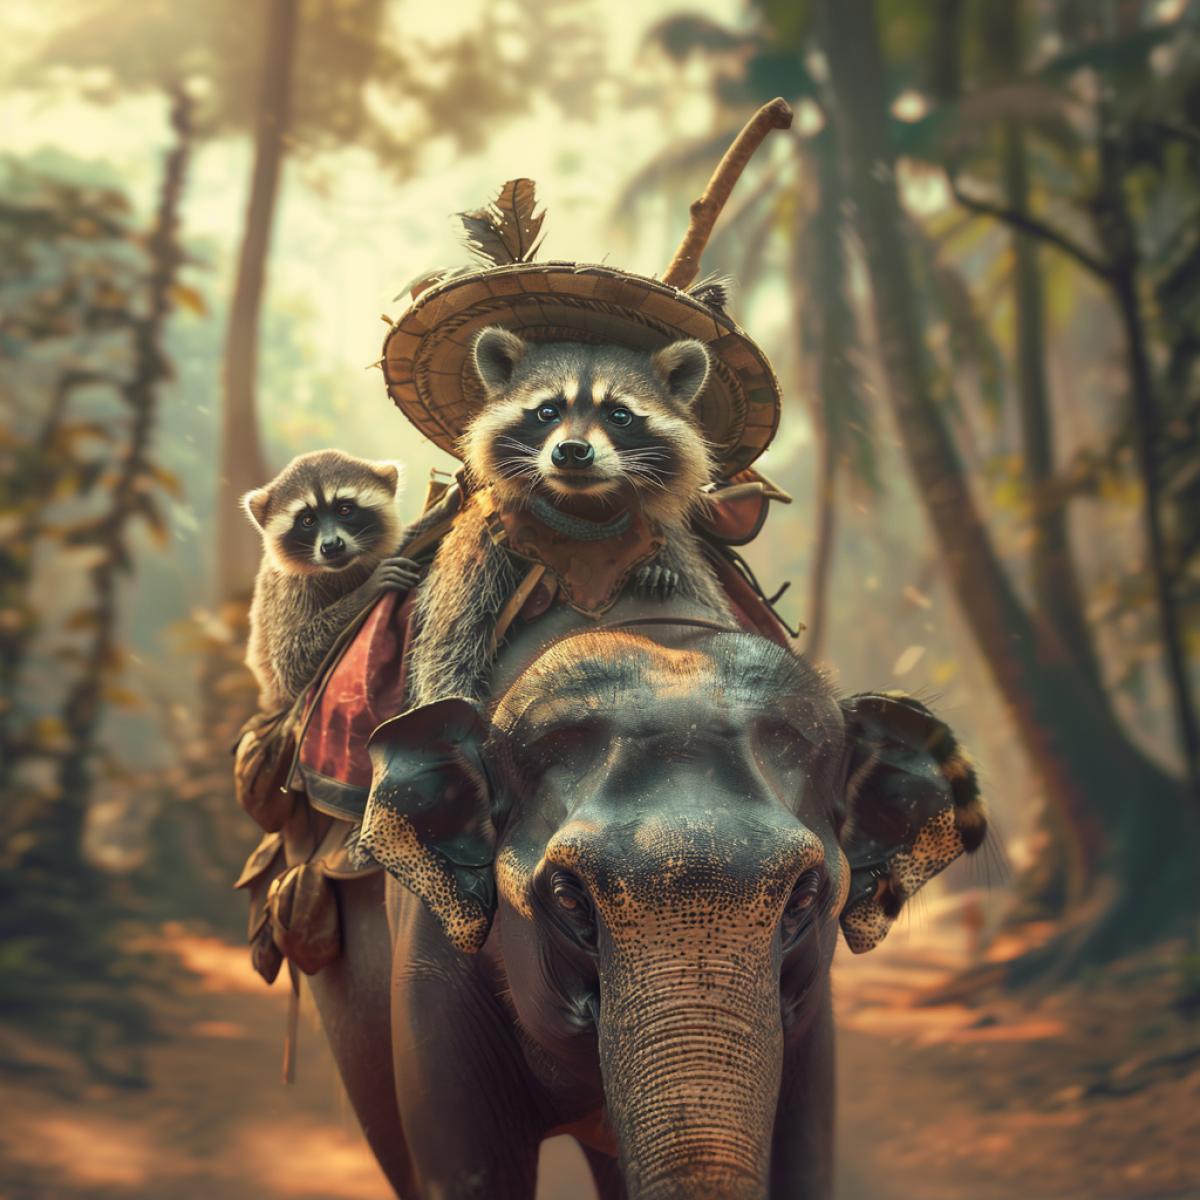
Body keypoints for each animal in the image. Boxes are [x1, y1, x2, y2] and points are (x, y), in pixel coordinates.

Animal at [242, 449, 421, 712]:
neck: (340, 569)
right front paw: (364, 591)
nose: (332, 545)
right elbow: (291, 665)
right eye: (307, 521)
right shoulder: (287, 591)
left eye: (344, 510)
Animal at [407, 327, 735, 707]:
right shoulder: (480, 542)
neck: (583, 509)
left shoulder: (673, 542)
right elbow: (449, 648)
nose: (573, 451)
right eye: (547, 411)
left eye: (619, 415)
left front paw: (656, 575)